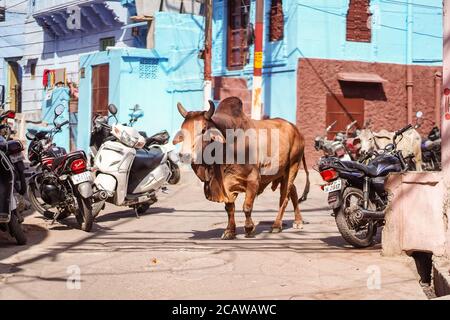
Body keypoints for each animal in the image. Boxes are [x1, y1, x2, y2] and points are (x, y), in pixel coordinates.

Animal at [172, 97, 310, 240]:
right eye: (183, 130)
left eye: (204, 130)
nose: (185, 155)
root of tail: (296, 130)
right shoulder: (226, 184)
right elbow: (229, 208)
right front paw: (229, 231)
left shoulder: (253, 180)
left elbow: (247, 207)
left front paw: (249, 228)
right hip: (282, 172)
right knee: (293, 191)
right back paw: (298, 221)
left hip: (293, 167)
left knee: (284, 197)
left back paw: (277, 225)